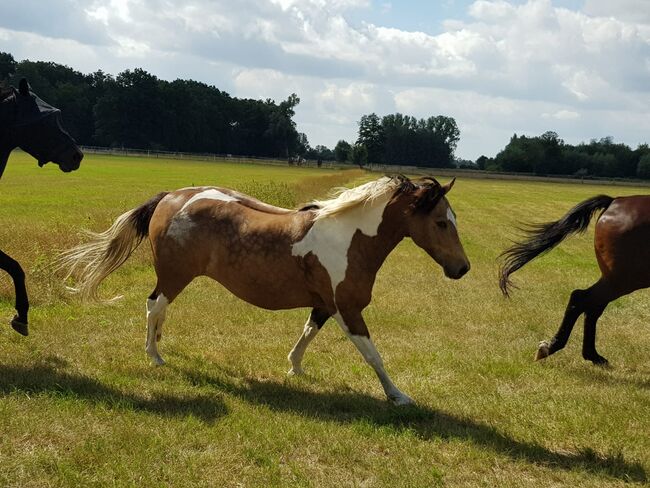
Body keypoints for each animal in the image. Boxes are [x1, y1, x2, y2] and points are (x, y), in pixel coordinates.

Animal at [0, 78, 83, 336]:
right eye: (50, 119)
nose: (77, 155)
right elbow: (15, 267)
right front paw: (22, 315)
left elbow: (16, 267)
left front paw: (21, 316)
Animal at [58, 175, 468, 404]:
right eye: (440, 222)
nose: (461, 268)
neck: (348, 238)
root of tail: (172, 197)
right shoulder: (348, 309)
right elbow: (374, 357)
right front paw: (398, 396)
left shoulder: (325, 305)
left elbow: (307, 334)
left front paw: (294, 369)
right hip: (174, 275)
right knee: (153, 306)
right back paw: (154, 355)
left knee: (158, 308)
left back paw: (158, 343)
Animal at [498, 193, 648, 364]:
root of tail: (615, 201)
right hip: (624, 279)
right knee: (581, 299)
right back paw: (551, 348)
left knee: (591, 307)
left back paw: (592, 355)